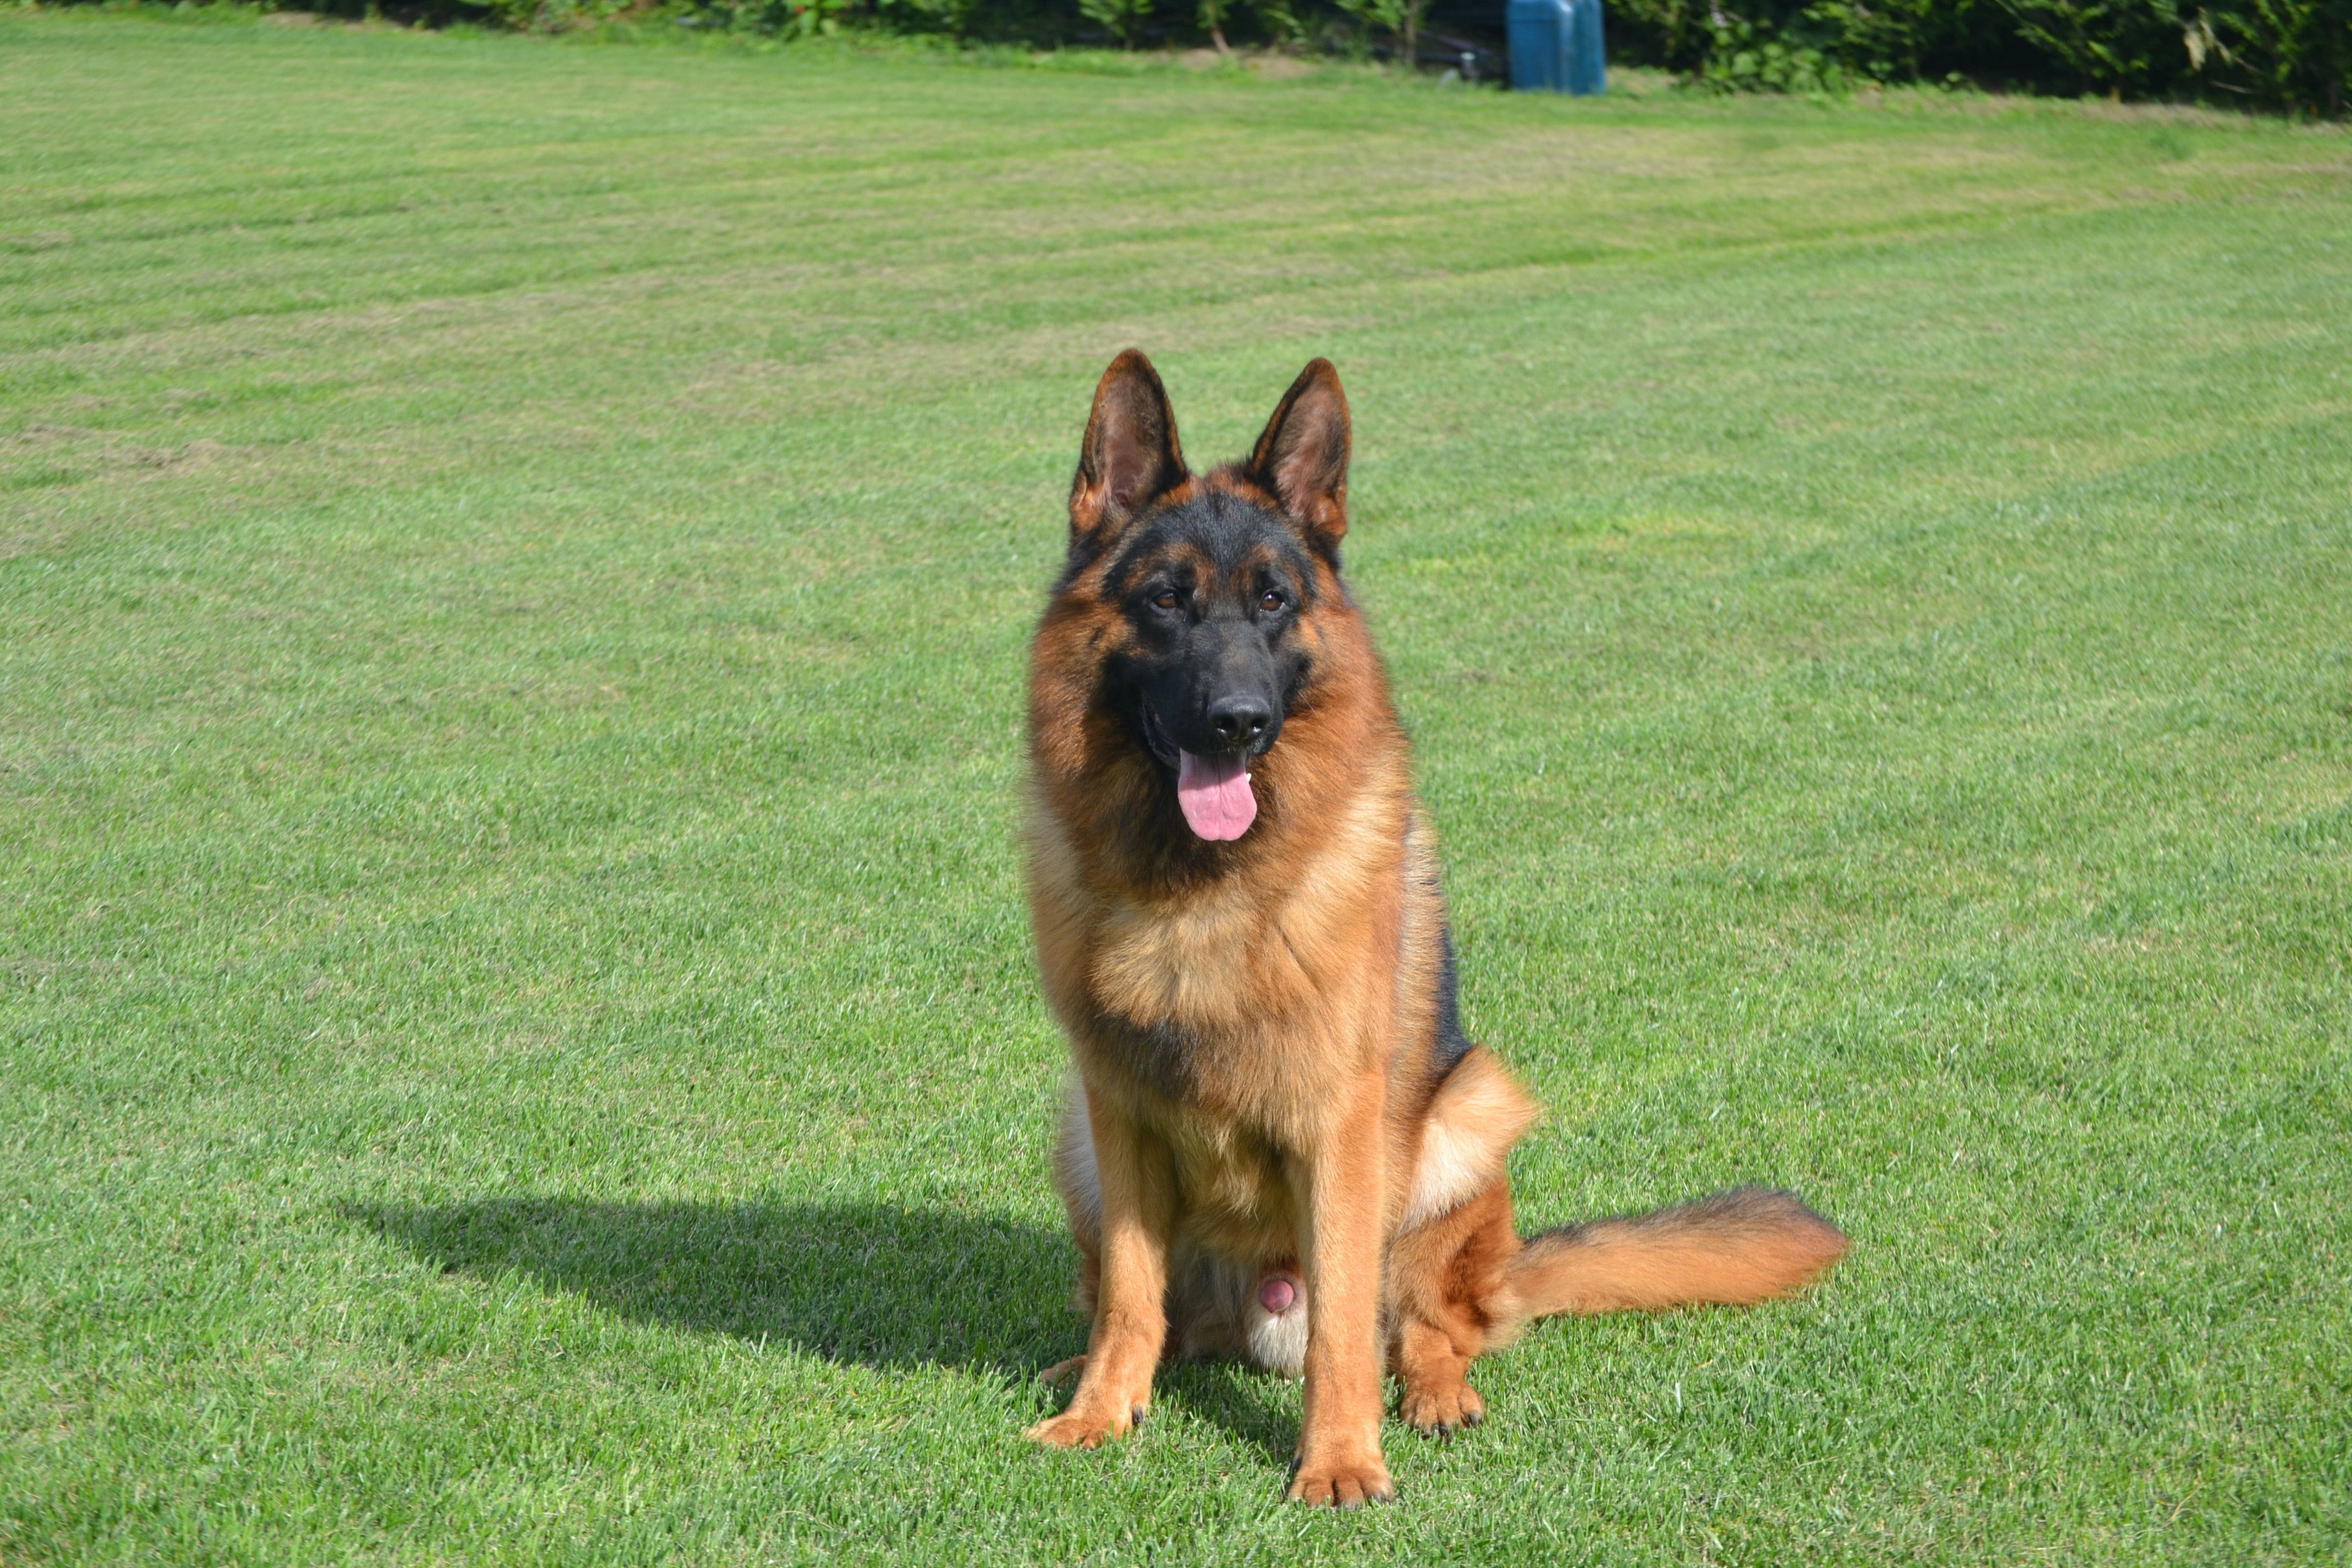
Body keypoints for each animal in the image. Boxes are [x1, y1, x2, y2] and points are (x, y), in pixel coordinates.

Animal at [1020, 350, 1844, 1504]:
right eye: (1165, 600)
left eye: (1273, 600)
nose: (1239, 721)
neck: (1205, 890)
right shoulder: (1120, 1112)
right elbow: (1132, 1298)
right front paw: (1101, 1412)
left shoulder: (1339, 1129)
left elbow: (1344, 1333)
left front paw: (1337, 1462)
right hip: (1080, 1146)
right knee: (1151, 1313)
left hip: (1466, 1113)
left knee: (1426, 1326)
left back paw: (1438, 1395)